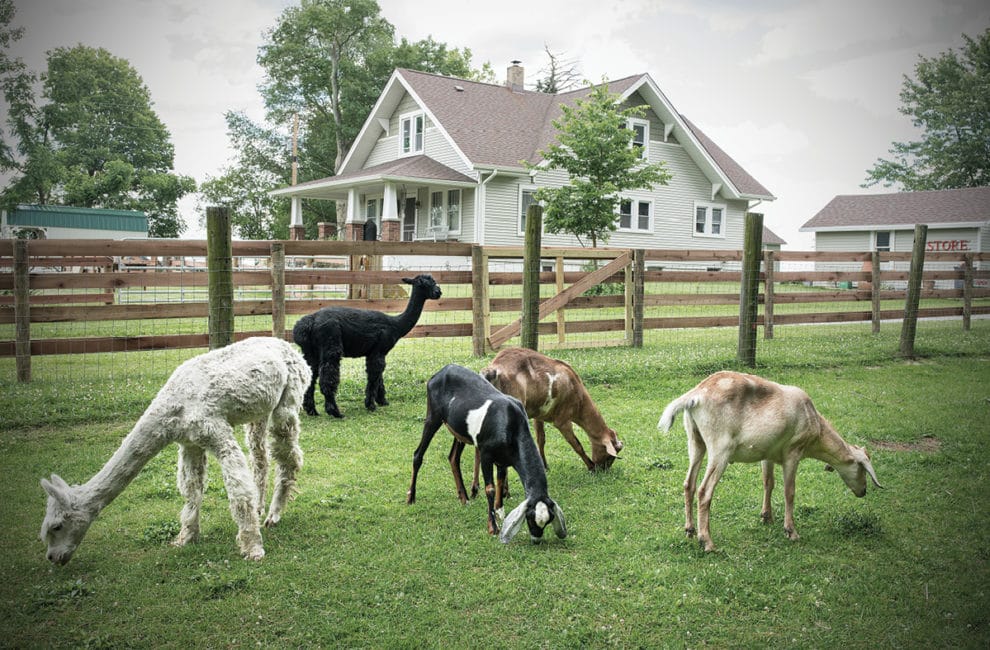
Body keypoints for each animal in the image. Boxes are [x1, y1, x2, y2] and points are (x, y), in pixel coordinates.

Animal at [406, 364, 568, 540]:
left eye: (548, 520)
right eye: (530, 518)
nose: (536, 538)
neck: (511, 424)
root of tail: (442, 371)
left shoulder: (503, 459)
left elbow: (500, 481)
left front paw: (499, 512)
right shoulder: (486, 454)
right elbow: (490, 488)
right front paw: (492, 527)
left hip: (460, 431)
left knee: (453, 457)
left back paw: (464, 498)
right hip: (433, 416)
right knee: (418, 454)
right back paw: (411, 498)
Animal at [478, 350, 620, 470]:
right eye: (611, 455)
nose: (603, 469)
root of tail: (493, 370)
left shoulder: (538, 414)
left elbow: (541, 439)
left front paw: (545, 466)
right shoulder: (563, 420)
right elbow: (576, 444)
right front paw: (590, 466)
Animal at [660, 372, 884, 548]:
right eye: (862, 468)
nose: (863, 491)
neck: (817, 431)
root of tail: (696, 395)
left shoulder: (766, 454)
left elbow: (768, 483)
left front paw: (766, 517)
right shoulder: (793, 451)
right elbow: (789, 491)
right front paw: (791, 531)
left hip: (695, 440)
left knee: (689, 484)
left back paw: (690, 530)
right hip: (720, 448)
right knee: (704, 490)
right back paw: (706, 541)